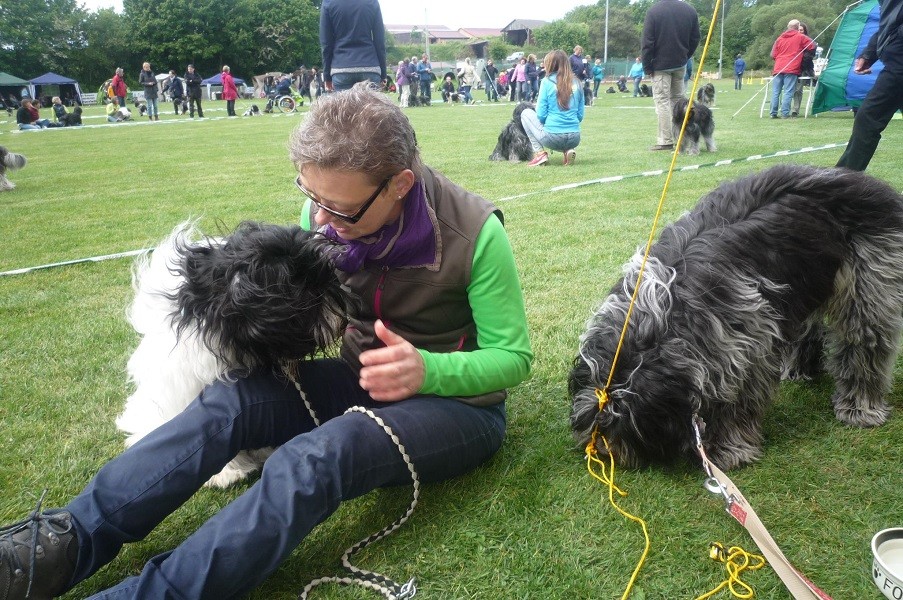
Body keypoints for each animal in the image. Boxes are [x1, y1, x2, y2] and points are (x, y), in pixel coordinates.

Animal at [568, 165, 903, 474]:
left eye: (617, 421)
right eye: (594, 419)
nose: (600, 450)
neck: (658, 322)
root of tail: (859, 180)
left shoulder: (745, 343)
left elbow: (737, 400)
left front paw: (728, 448)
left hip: (871, 280)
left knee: (864, 342)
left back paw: (860, 406)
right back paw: (798, 370)